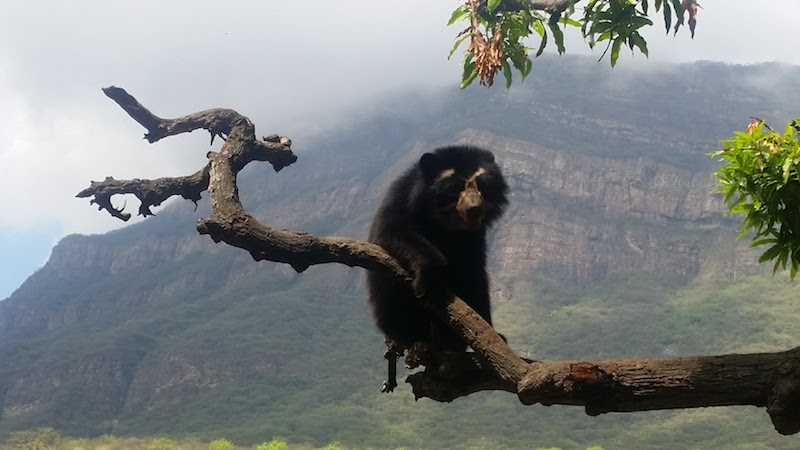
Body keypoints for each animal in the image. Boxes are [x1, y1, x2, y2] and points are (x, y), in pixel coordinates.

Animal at [368, 145, 510, 390]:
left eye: (483, 185)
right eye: (455, 188)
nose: (474, 209)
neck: (447, 225)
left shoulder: (473, 239)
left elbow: (475, 278)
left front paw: (493, 337)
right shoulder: (399, 203)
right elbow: (393, 232)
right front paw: (429, 286)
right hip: (390, 306)